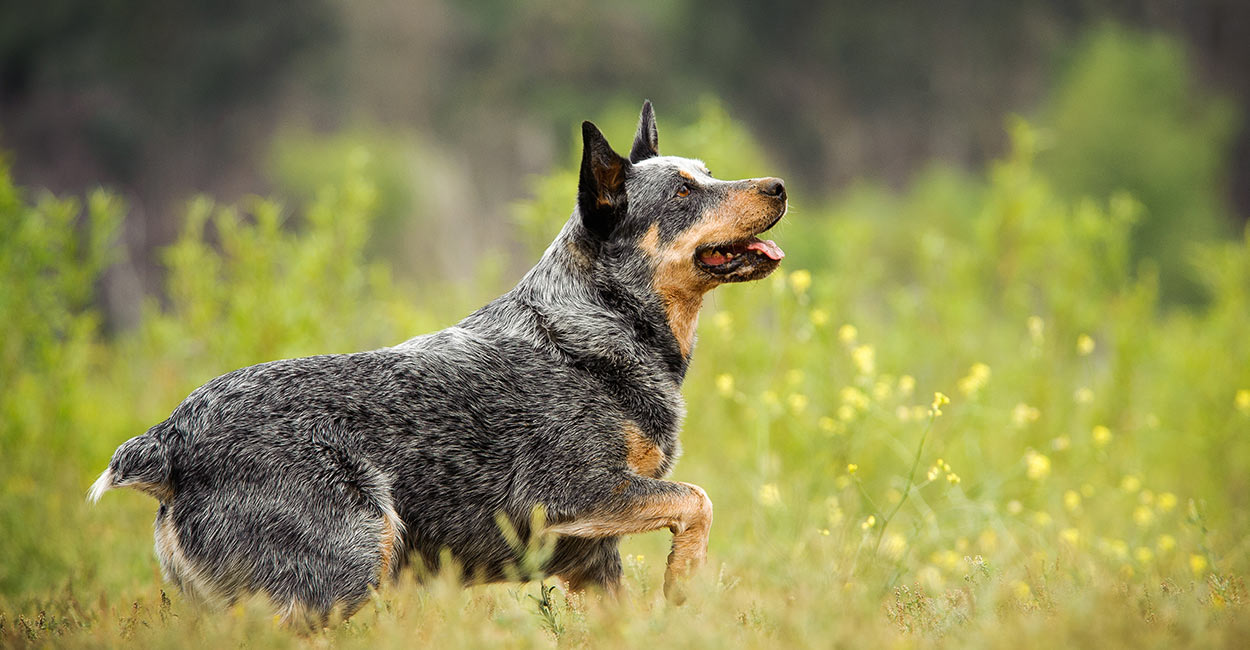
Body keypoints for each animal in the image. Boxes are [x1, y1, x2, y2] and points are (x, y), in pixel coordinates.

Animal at [92, 101, 785, 625]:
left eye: (710, 172)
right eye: (684, 192)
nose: (778, 185)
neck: (597, 327)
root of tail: (170, 440)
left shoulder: (591, 556)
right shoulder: (570, 494)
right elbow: (698, 499)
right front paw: (683, 583)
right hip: (343, 571)